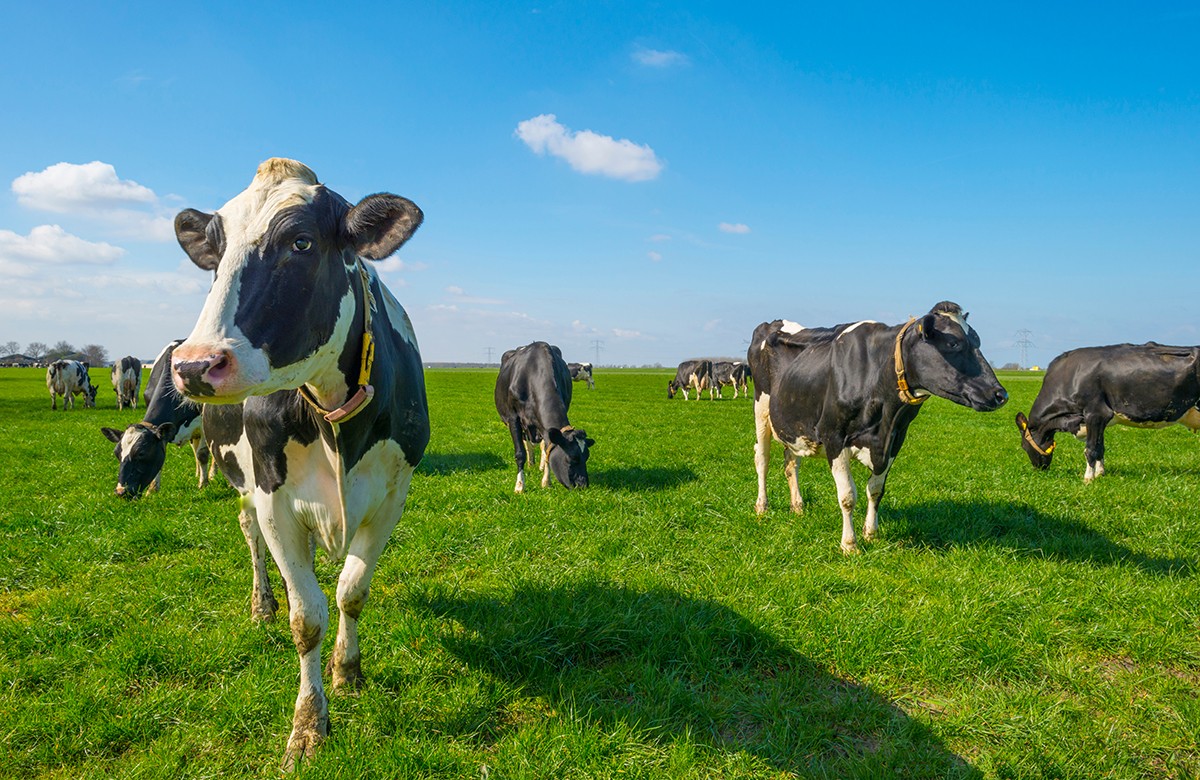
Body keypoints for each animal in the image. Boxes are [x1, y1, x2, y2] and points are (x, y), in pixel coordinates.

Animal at [101, 340, 215, 498]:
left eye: (141, 453)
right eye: (117, 453)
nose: (121, 491)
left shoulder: (203, 423)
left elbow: (202, 454)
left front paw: (203, 485)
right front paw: (153, 490)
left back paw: (212, 475)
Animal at [168, 158, 430, 769]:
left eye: (301, 242)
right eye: (215, 254)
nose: (194, 365)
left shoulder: (392, 497)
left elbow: (351, 590)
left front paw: (348, 673)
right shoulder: (275, 500)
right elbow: (306, 616)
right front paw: (309, 726)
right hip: (245, 486)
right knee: (252, 540)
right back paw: (262, 602)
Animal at [496, 341, 595, 492]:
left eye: (587, 456)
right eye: (573, 457)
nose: (582, 485)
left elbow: (547, 448)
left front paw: (546, 482)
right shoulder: (513, 418)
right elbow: (520, 453)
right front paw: (520, 486)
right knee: (526, 442)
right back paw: (530, 463)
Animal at [749, 302, 1008, 553]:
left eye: (977, 341)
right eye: (954, 343)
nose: (1001, 395)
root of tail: (772, 322)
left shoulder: (895, 439)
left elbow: (875, 490)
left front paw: (870, 534)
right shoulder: (834, 436)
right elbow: (847, 495)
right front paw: (849, 545)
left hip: (792, 424)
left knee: (791, 462)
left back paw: (798, 507)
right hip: (761, 408)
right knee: (762, 459)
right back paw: (762, 506)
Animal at [1015, 343, 1200, 481]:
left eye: (1023, 446)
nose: (1039, 469)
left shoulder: (1095, 413)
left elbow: (1090, 449)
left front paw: (1088, 478)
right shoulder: (1101, 420)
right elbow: (1100, 447)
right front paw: (1100, 473)